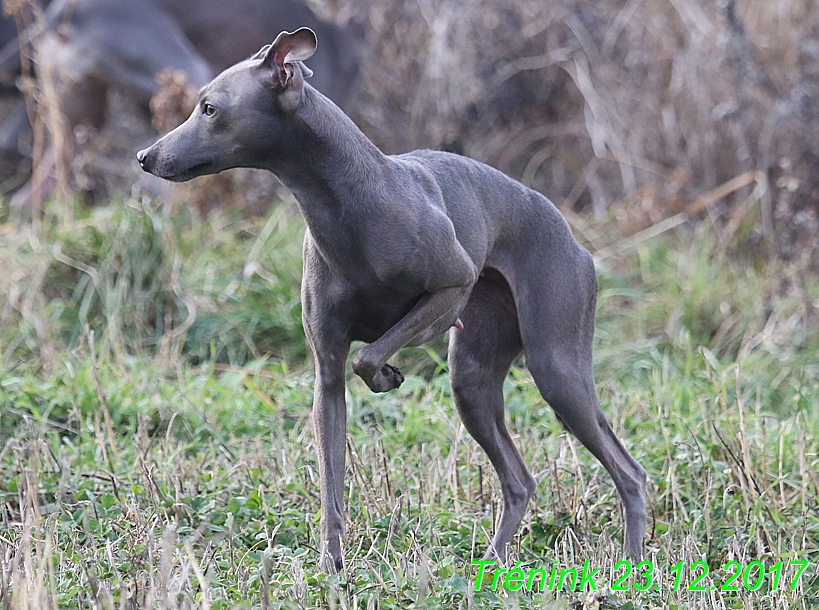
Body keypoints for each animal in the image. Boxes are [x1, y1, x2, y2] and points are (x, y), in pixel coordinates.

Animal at [139, 27, 648, 568]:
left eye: (209, 108)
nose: (144, 157)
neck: (347, 205)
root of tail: (575, 239)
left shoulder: (453, 285)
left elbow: (371, 352)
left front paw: (387, 375)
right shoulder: (326, 377)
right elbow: (332, 482)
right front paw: (331, 566)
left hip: (557, 365)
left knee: (629, 472)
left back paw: (633, 564)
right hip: (472, 380)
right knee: (519, 480)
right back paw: (491, 562)